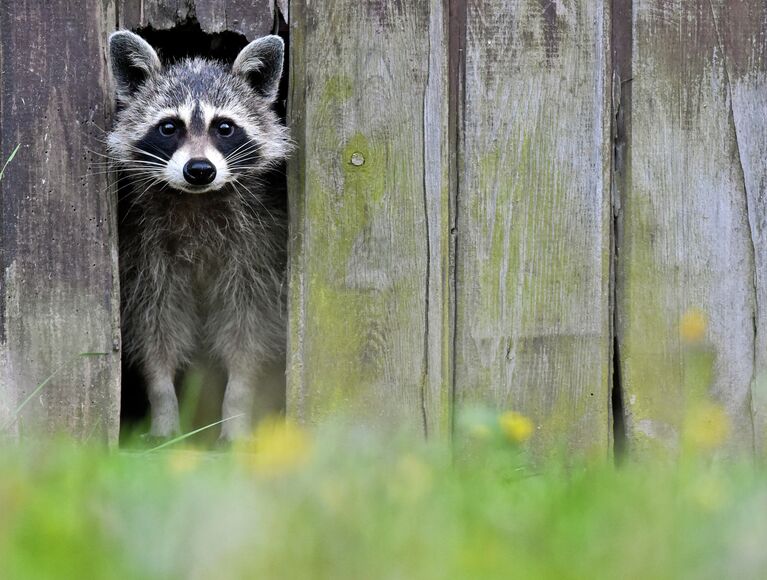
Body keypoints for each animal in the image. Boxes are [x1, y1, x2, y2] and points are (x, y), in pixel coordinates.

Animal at [106, 31, 290, 440]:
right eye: (168, 127)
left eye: (224, 127)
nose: (200, 169)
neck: (196, 199)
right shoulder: (144, 255)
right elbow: (154, 327)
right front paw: (162, 401)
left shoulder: (258, 250)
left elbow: (248, 330)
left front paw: (237, 405)